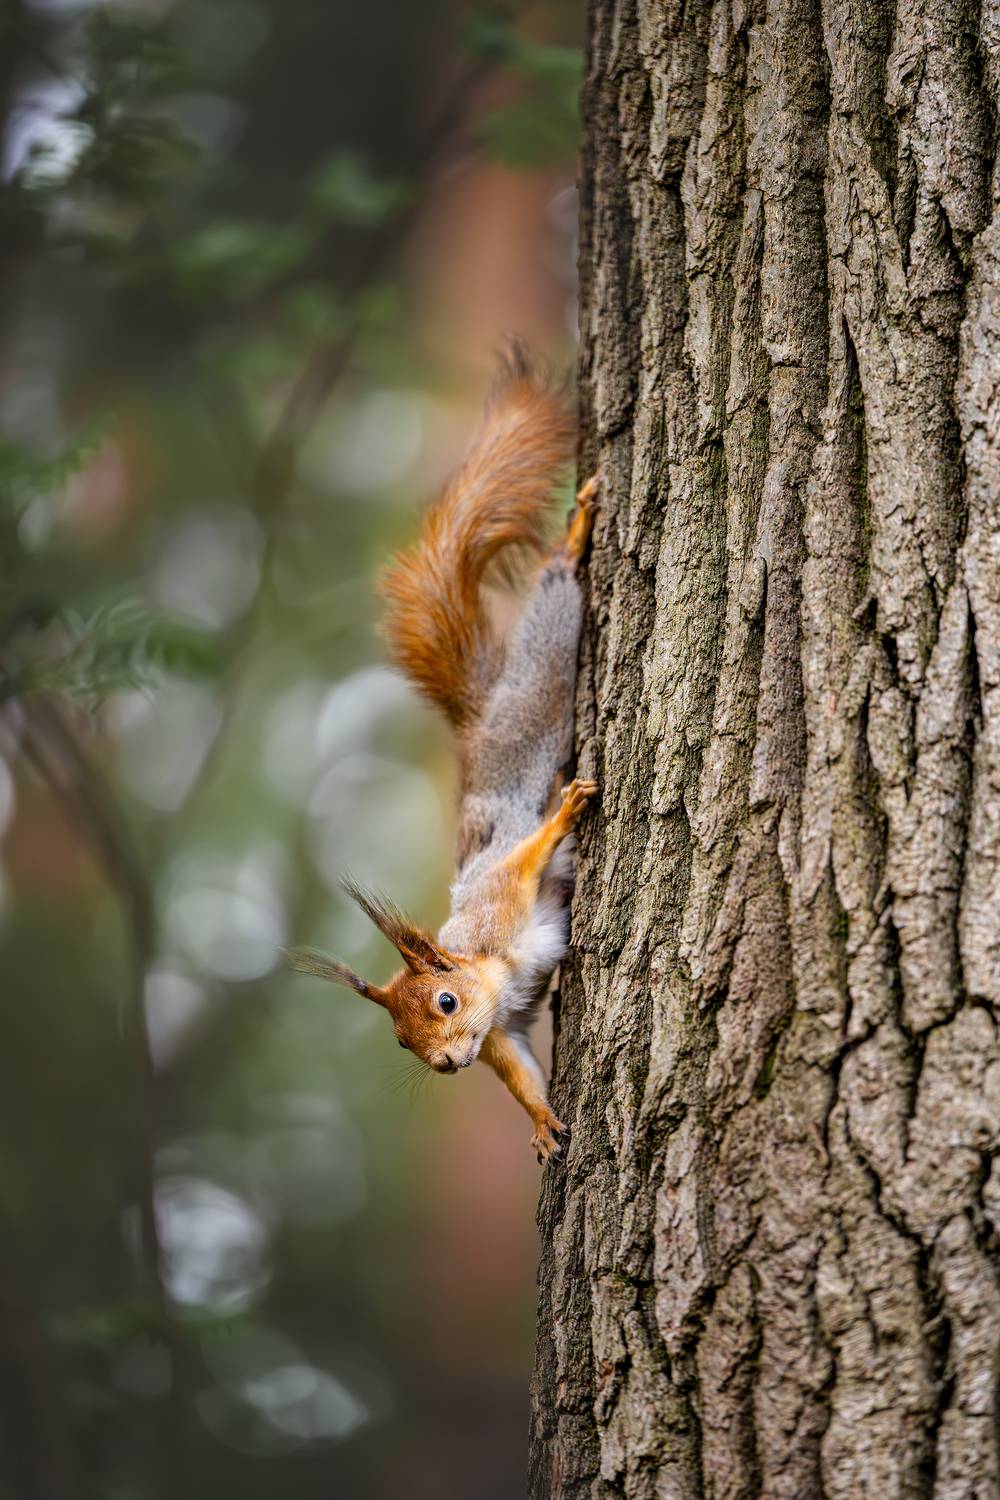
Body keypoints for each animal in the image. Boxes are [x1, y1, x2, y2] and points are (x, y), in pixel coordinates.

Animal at [288, 348, 598, 1163]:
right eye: (400, 1041)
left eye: (447, 1000)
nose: (450, 1064)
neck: (490, 967)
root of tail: (479, 723)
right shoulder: (507, 1031)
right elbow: (519, 1072)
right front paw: (541, 1122)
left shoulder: (500, 905)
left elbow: (526, 859)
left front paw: (564, 818)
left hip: (537, 698)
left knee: (555, 609)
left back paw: (573, 540)